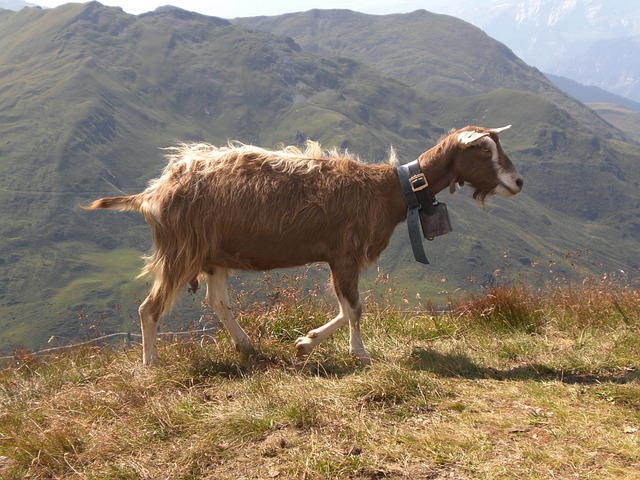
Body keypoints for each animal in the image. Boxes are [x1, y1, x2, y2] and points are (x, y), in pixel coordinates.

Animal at [82, 125, 524, 366]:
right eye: (482, 149)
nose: (518, 182)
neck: (387, 190)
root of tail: (153, 192)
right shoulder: (344, 254)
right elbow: (354, 307)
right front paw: (358, 353)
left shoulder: (338, 256)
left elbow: (347, 308)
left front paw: (305, 343)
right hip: (181, 251)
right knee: (150, 307)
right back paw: (150, 363)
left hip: (212, 255)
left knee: (217, 301)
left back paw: (247, 346)